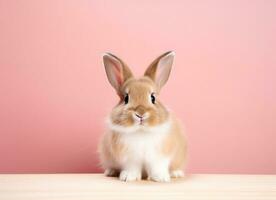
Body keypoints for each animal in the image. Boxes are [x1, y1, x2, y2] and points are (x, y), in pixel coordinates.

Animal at [98, 50, 187, 182]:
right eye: (126, 98)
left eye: (153, 97)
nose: (140, 114)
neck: (141, 131)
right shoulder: (130, 159)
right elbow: (132, 168)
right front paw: (128, 177)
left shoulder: (160, 157)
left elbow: (158, 167)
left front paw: (161, 178)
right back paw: (110, 172)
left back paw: (176, 173)